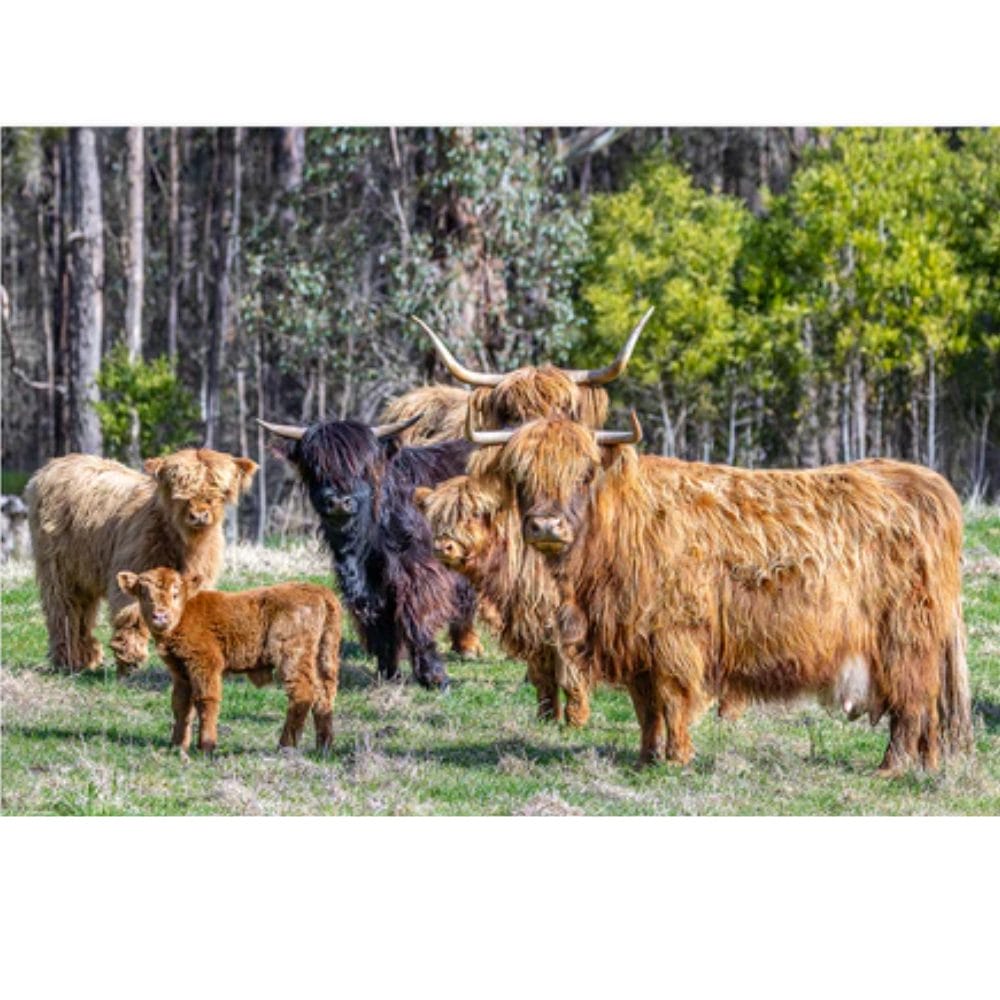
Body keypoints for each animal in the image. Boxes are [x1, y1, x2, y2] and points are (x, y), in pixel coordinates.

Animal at [26, 449, 257, 675]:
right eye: (178, 492)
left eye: (219, 492)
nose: (199, 516)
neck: (186, 544)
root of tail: (55, 464)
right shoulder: (136, 572)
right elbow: (133, 614)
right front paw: (130, 661)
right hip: (57, 568)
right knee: (64, 608)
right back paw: (67, 660)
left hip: (84, 570)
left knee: (83, 610)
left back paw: (86, 660)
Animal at [118, 567, 341, 754]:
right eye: (144, 595)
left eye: (175, 594)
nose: (160, 616)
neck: (185, 612)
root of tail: (318, 590)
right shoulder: (181, 672)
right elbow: (181, 706)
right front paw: (177, 746)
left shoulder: (205, 663)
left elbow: (206, 700)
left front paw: (206, 746)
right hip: (324, 656)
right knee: (324, 694)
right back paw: (323, 747)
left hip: (292, 656)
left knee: (303, 693)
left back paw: (285, 747)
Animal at [259, 414, 479, 691]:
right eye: (316, 467)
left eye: (362, 467)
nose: (339, 501)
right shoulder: (366, 585)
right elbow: (380, 627)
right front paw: (388, 674)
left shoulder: (420, 572)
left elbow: (417, 618)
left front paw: (435, 677)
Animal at [469, 413, 973, 775]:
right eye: (520, 473)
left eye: (585, 472)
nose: (546, 525)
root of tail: (921, 481)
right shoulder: (637, 646)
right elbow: (645, 707)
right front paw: (646, 759)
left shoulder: (675, 638)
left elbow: (673, 700)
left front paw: (676, 758)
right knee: (928, 709)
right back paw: (925, 767)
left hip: (903, 638)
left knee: (911, 704)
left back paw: (890, 768)